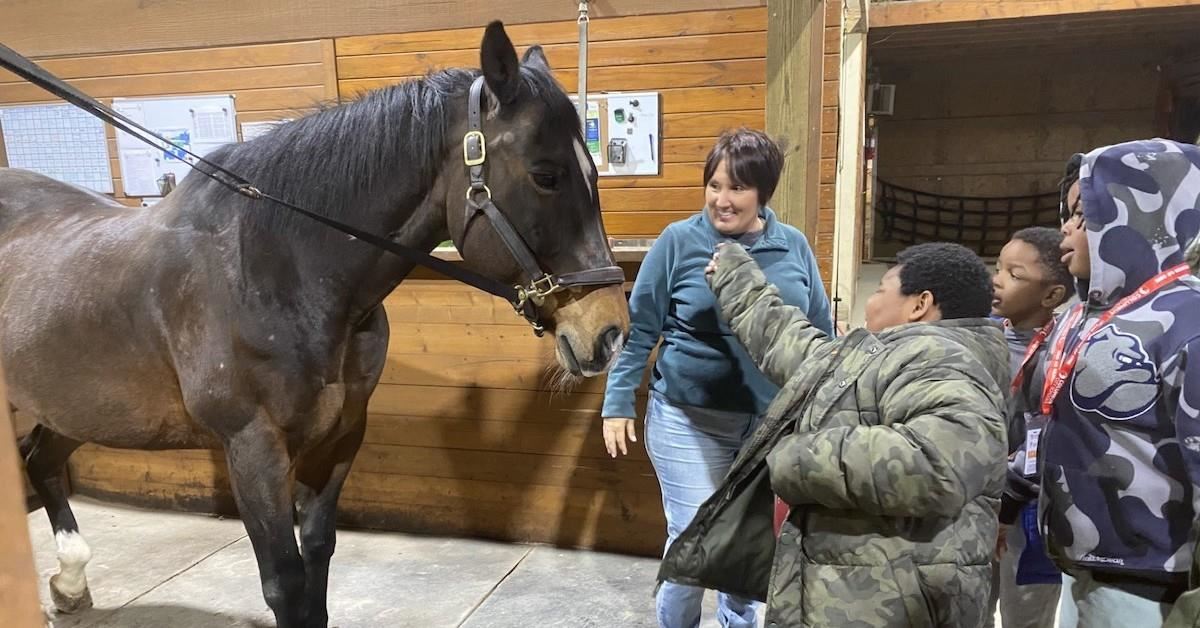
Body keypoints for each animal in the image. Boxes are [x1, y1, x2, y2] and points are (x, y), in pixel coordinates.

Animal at [0, 22, 633, 624]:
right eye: (546, 175)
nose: (608, 331)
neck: (279, 267)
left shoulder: (340, 435)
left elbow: (319, 559)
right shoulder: (253, 448)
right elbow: (286, 583)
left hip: (74, 404)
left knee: (41, 462)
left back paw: (69, 586)